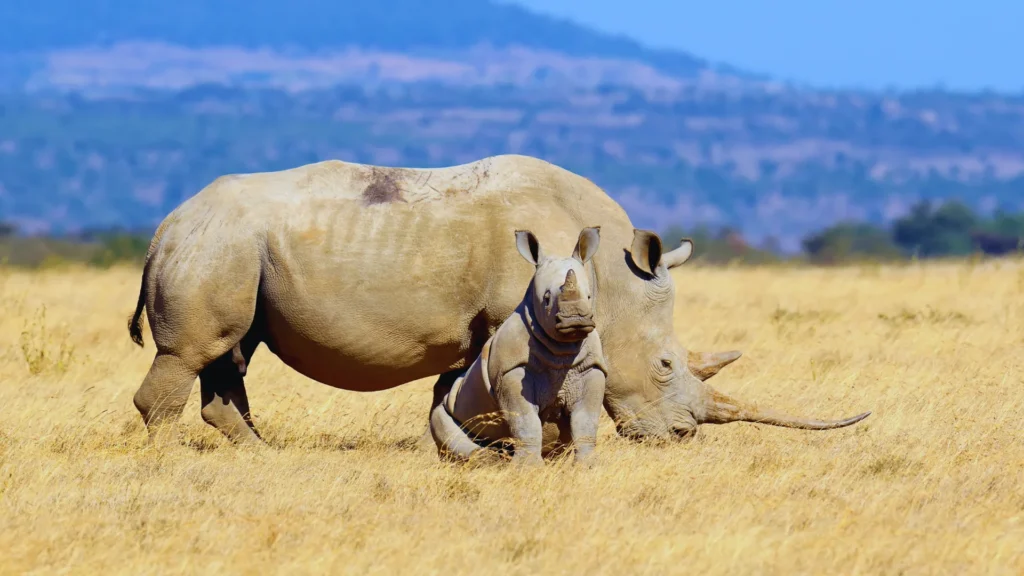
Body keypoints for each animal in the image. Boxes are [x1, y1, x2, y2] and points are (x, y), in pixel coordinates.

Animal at [430, 227, 607, 466]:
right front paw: (529, 468)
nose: (576, 320)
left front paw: (588, 466)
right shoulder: (511, 370)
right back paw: (491, 461)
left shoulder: (591, 368)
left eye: (589, 296)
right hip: (449, 405)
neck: (563, 348)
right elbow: (525, 421)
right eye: (546, 298)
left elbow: (586, 420)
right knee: (443, 422)